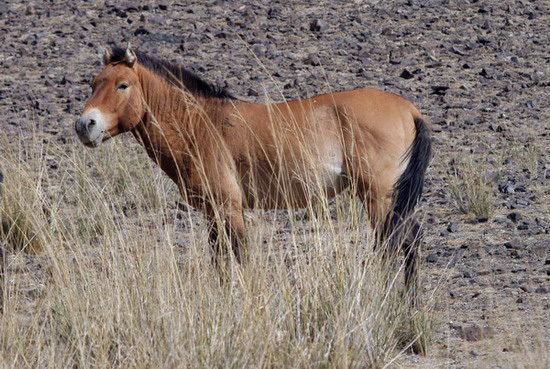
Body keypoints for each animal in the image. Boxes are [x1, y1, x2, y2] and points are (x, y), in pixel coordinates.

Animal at [75, 43, 434, 296]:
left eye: (122, 85)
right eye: (94, 83)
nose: (84, 125)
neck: (200, 124)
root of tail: (409, 109)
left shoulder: (228, 208)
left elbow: (238, 257)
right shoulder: (213, 213)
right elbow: (220, 261)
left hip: (379, 198)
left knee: (400, 243)